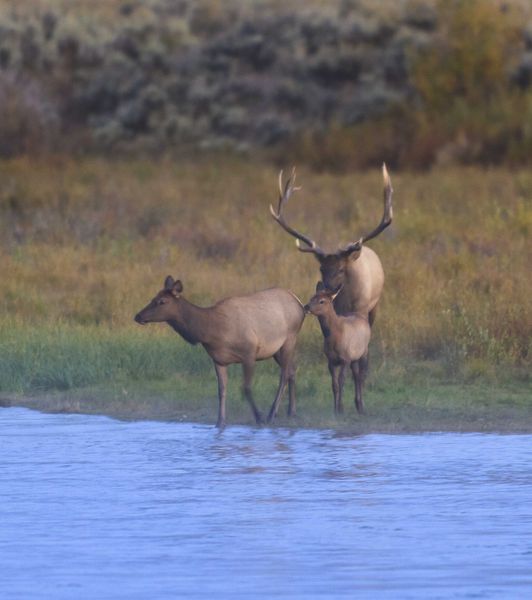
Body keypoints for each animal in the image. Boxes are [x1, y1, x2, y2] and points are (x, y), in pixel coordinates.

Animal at [133, 278, 306, 428]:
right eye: (153, 298)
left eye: (162, 301)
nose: (138, 316)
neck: (211, 332)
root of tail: (300, 304)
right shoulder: (218, 360)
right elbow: (221, 391)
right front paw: (220, 422)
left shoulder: (249, 353)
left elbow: (246, 388)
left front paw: (259, 417)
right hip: (276, 350)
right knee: (292, 370)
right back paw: (292, 411)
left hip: (289, 339)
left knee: (284, 375)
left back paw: (272, 414)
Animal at [270, 162, 390, 380]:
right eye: (321, 268)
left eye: (342, 268)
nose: (327, 289)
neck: (346, 299)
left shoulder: (361, 310)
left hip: (374, 307)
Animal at [302, 284, 372, 414]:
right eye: (311, 297)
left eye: (322, 301)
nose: (306, 306)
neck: (334, 335)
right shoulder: (331, 361)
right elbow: (334, 385)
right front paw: (335, 410)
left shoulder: (345, 359)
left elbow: (341, 381)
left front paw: (341, 408)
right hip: (354, 358)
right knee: (356, 376)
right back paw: (357, 404)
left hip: (364, 351)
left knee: (361, 376)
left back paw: (361, 406)